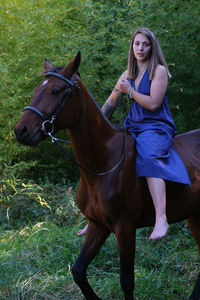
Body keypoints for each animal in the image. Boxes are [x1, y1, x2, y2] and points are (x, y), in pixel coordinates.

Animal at [14, 52, 200, 298]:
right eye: (37, 89)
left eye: (55, 90)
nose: (21, 130)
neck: (102, 166)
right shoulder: (98, 226)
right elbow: (78, 271)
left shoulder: (125, 228)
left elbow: (127, 282)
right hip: (195, 216)